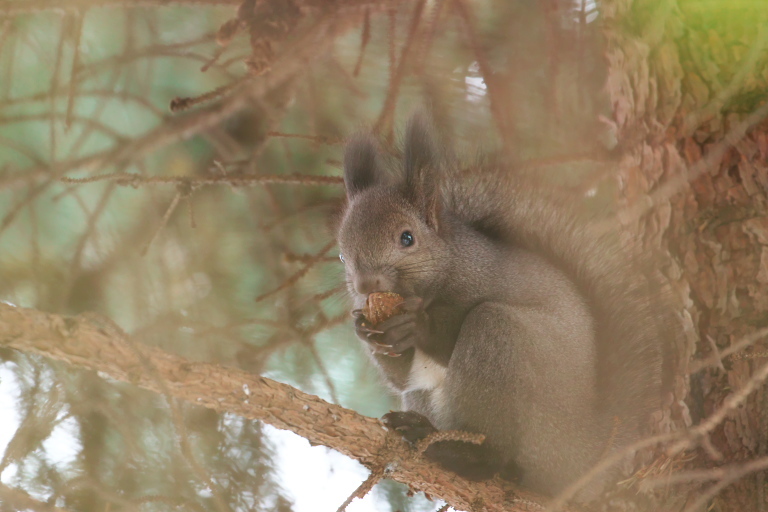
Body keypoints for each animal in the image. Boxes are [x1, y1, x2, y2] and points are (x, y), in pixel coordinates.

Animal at [336, 114, 672, 502]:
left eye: (408, 238)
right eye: (341, 255)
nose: (366, 286)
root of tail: (579, 464)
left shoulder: (483, 280)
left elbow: (445, 337)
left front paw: (417, 325)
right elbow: (400, 377)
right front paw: (367, 330)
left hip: (504, 345)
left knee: (494, 451)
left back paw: (459, 453)